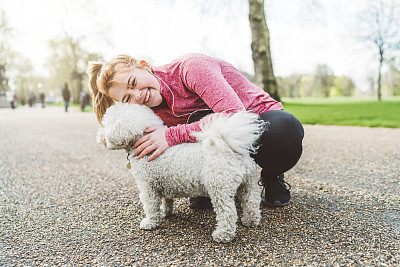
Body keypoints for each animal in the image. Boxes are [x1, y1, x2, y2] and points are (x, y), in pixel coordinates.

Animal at [97, 103, 266, 245]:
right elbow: (166, 200)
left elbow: (150, 206)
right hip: (248, 184)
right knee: (251, 202)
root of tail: (229, 148)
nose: (100, 136)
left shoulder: (147, 187)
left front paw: (150, 223)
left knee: (228, 214)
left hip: (219, 188)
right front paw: (165, 212)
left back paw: (222, 235)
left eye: (106, 124)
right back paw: (250, 221)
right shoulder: (162, 183)